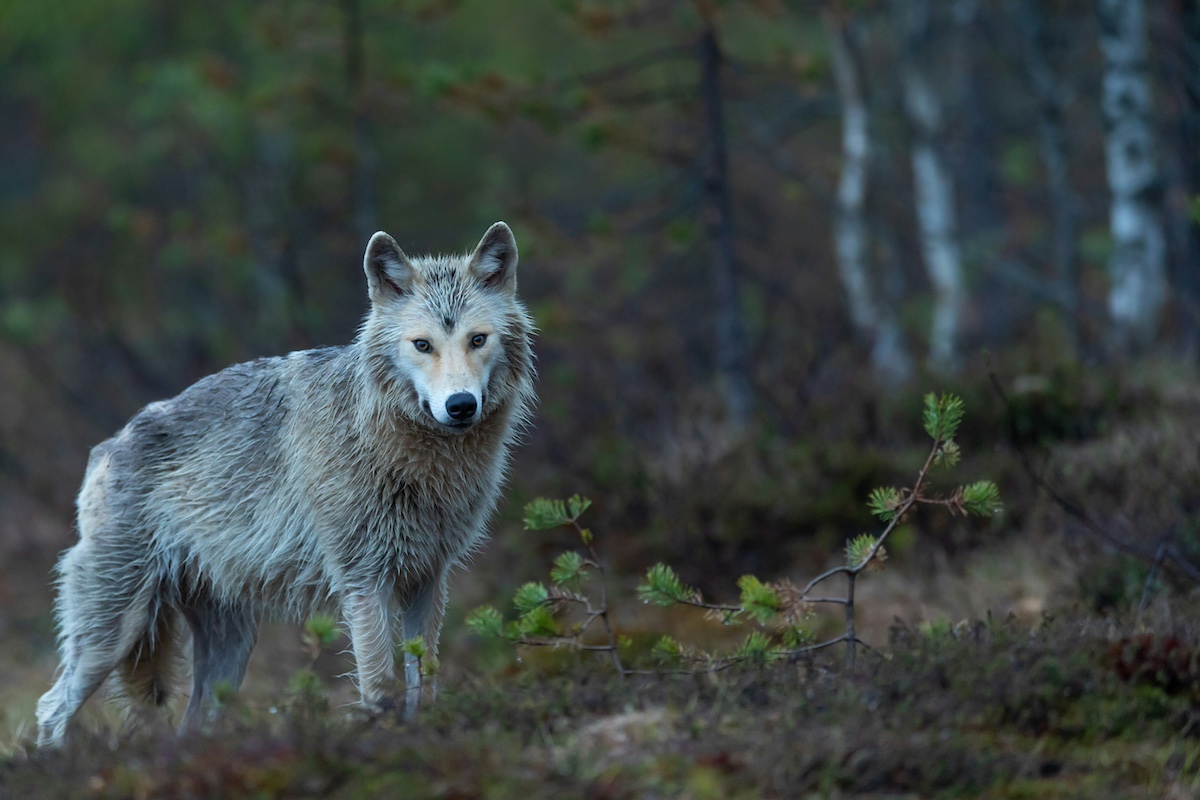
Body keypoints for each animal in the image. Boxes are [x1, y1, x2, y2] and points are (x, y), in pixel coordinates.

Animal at [35, 222, 536, 747]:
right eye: (423, 345)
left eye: (477, 339)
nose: (460, 405)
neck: (409, 457)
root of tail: (107, 446)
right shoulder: (364, 581)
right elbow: (380, 686)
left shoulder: (428, 579)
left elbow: (426, 679)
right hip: (113, 632)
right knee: (51, 707)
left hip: (230, 649)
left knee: (191, 722)